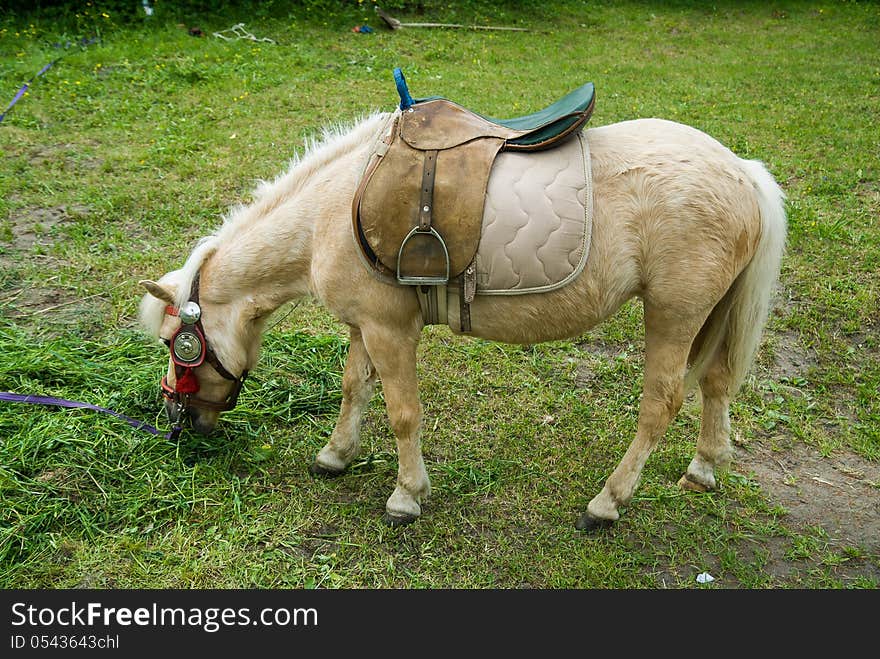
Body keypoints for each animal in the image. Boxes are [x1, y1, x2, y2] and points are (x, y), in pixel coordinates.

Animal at [141, 107, 788, 532]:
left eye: (177, 342)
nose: (179, 420)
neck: (332, 210)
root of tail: (742, 171)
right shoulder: (363, 326)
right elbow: (354, 388)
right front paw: (336, 455)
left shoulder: (389, 331)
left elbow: (402, 413)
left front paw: (406, 496)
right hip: (710, 314)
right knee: (717, 383)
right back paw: (703, 468)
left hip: (674, 314)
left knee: (661, 404)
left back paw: (607, 503)